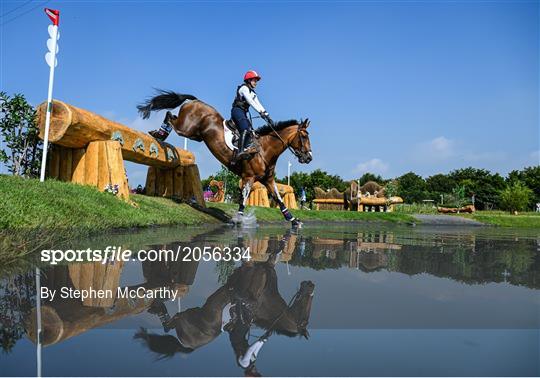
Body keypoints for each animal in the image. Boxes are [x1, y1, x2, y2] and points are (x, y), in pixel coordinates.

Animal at [137, 91, 312, 227]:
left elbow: (279, 199)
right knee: (170, 117)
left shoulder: (268, 179)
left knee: (172, 117)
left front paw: (294, 221)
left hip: (196, 135)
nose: (309, 157)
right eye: (304, 136)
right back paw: (160, 134)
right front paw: (238, 221)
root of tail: (195, 101)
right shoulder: (248, 177)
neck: (265, 150)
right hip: (186, 128)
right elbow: (243, 200)